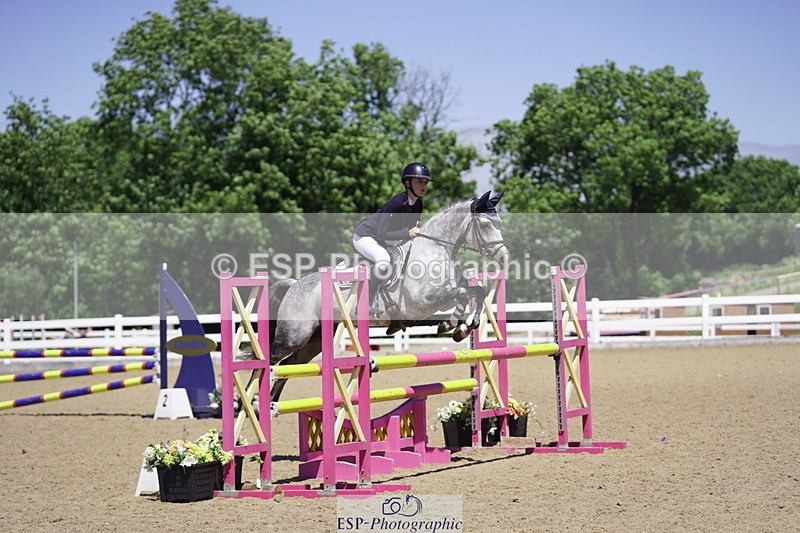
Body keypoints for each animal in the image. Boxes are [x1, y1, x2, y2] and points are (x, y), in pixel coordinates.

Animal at [266, 190, 509, 401]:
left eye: (499, 223)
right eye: (485, 224)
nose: (504, 258)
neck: (433, 249)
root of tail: (294, 285)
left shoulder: (441, 299)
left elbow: (474, 292)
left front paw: (461, 327)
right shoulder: (423, 302)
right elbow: (462, 292)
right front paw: (454, 326)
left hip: (314, 340)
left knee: (289, 366)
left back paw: (268, 404)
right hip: (295, 334)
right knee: (272, 359)